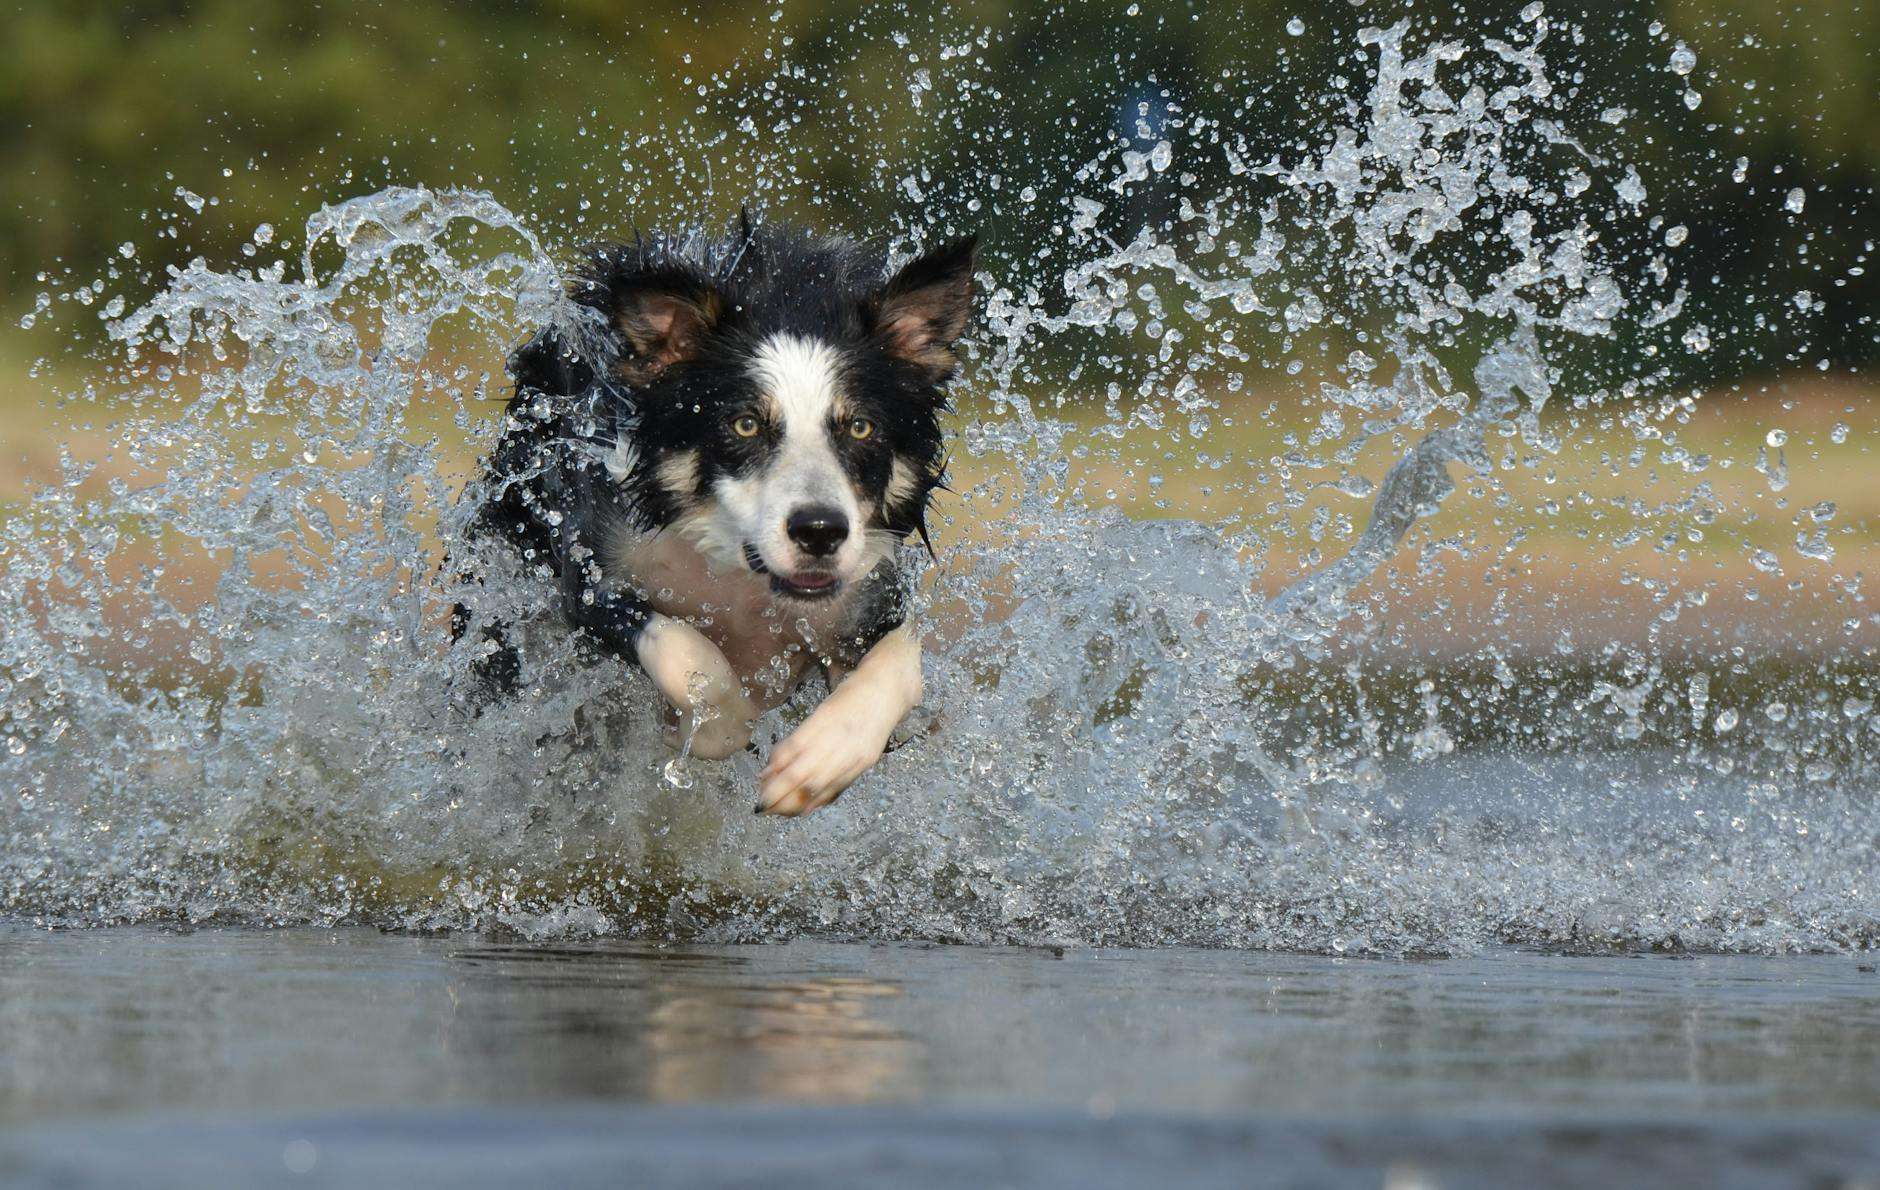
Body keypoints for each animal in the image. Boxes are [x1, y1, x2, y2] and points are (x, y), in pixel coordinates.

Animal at [456, 213, 977, 812]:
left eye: (861, 427)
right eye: (745, 424)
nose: (820, 531)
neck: (737, 574)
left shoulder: (868, 594)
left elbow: (902, 661)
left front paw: (820, 760)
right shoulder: (592, 573)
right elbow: (689, 653)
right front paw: (716, 725)